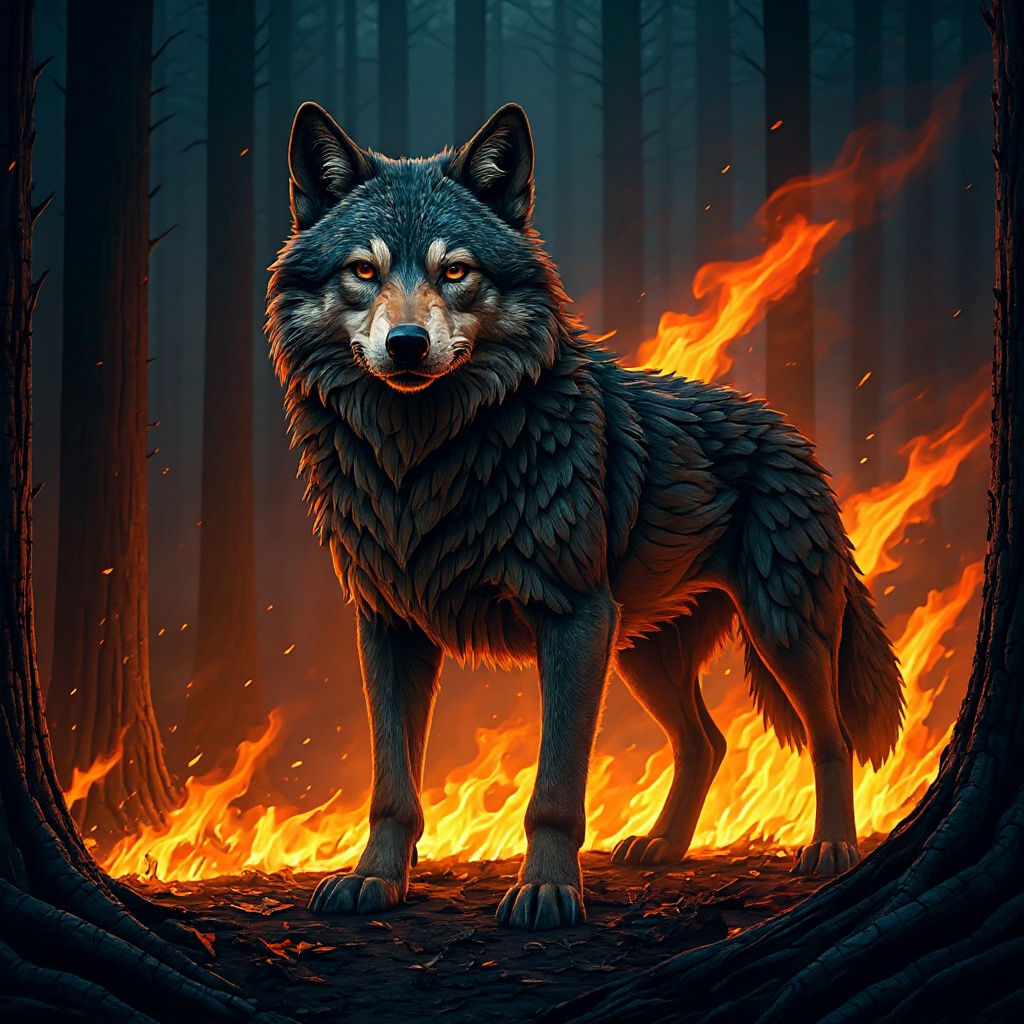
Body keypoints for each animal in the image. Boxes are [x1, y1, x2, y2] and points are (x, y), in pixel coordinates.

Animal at [266, 101, 903, 931]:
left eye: (455, 271)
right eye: (363, 271)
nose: (406, 344)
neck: (424, 462)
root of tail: (791, 431)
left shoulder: (573, 620)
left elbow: (557, 789)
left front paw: (546, 892)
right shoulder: (388, 625)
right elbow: (392, 785)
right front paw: (375, 880)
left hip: (780, 631)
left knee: (830, 736)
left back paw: (830, 850)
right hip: (644, 652)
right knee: (708, 742)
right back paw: (661, 847)